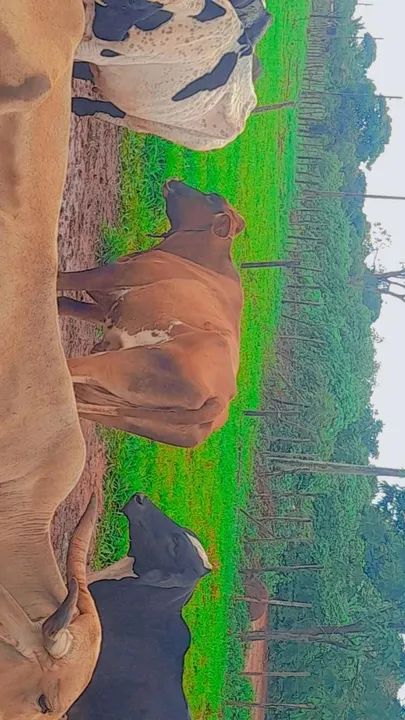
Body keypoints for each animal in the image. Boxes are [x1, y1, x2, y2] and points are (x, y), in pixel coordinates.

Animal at [57, 179, 245, 448]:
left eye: (211, 197)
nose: (175, 180)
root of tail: (220, 400)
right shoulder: (106, 308)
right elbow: (64, 302)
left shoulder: (113, 275)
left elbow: (63, 280)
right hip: (119, 409)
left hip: (122, 364)